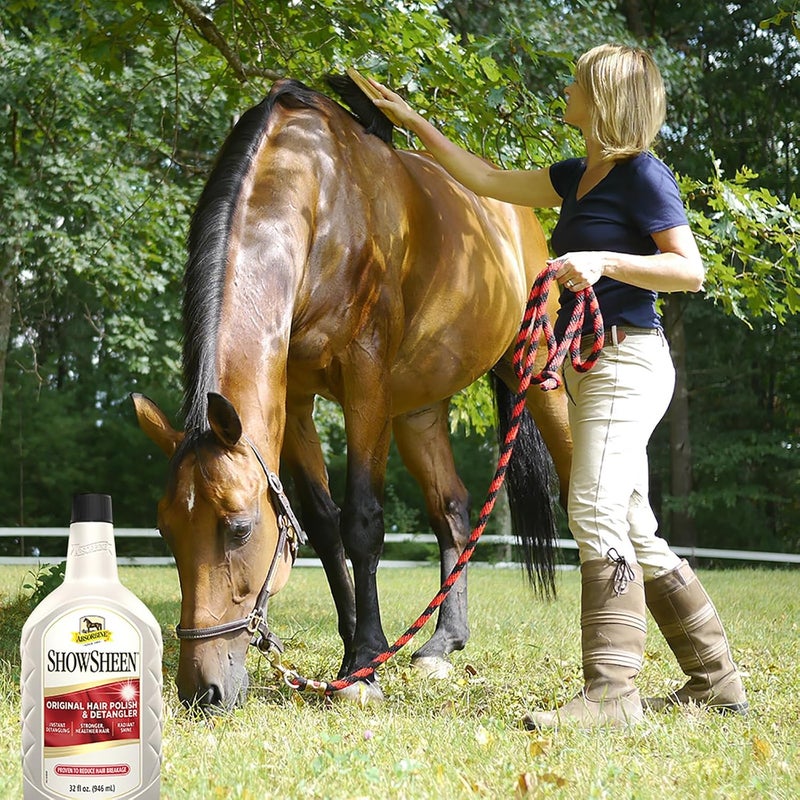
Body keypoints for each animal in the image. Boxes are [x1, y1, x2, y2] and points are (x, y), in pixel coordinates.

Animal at [132, 75, 572, 711]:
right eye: (165, 528)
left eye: (238, 527)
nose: (204, 690)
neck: (320, 196)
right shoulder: (293, 399)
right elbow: (321, 523)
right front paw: (354, 654)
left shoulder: (365, 380)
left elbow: (361, 522)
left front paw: (364, 663)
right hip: (419, 407)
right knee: (452, 509)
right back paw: (442, 643)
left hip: (536, 377)